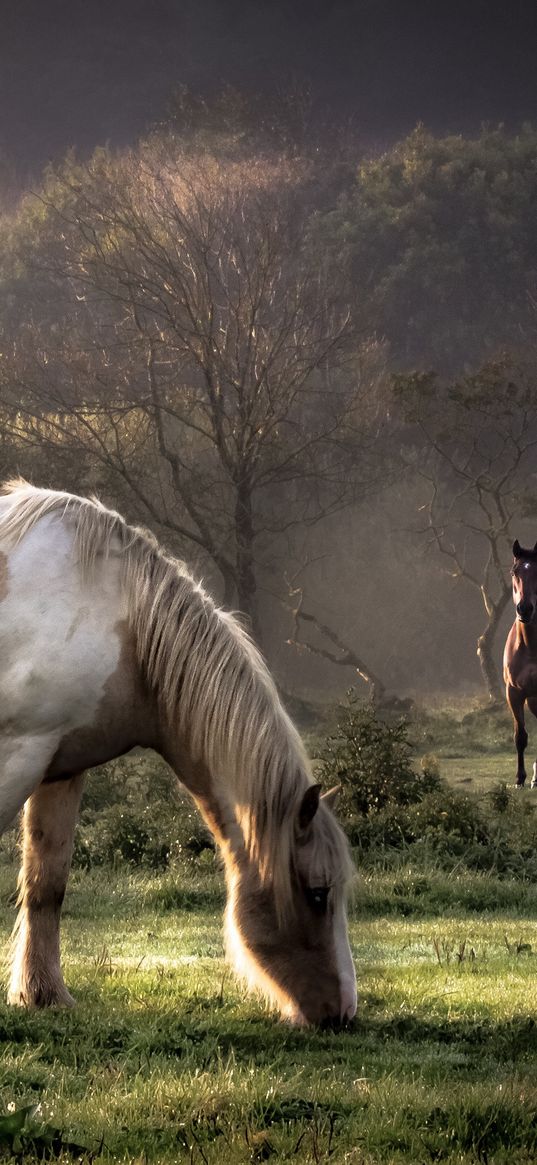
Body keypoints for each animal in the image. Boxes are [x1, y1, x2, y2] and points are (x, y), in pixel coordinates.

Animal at [0, 477, 356, 1025]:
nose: (342, 1012)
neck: (115, 614)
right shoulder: (19, 752)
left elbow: (46, 883)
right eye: (317, 894)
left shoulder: (60, 766)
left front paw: (44, 995)